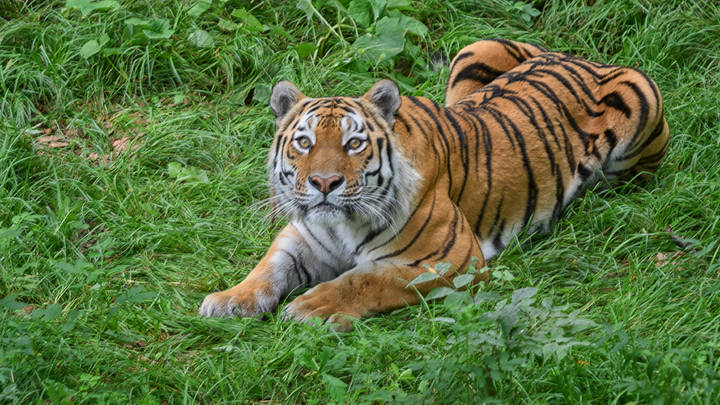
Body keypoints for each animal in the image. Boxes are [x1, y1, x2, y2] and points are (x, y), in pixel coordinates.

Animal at [200, 38, 669, 331]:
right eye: (304, 142)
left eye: (354, 143)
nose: (324, 182)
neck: (340, 225)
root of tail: (576, 57)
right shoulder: (301, 237)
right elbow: (267, 269)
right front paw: (228, 299)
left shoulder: (452, 259)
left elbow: (367, 279)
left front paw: (312, 305)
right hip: (473, 52)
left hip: (642, 102)